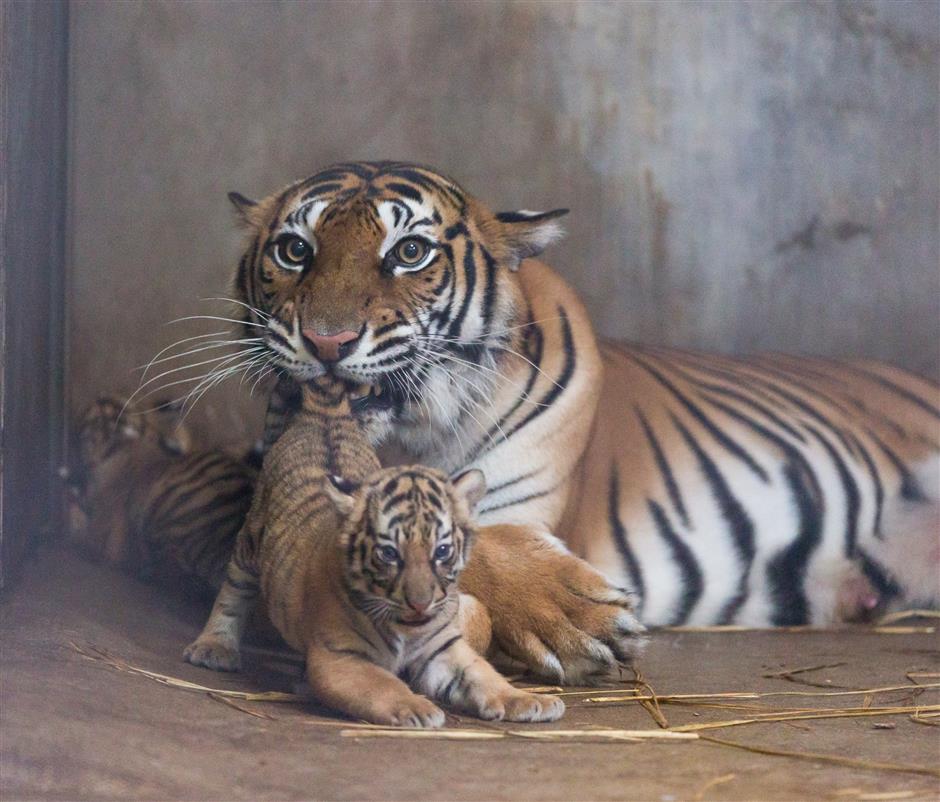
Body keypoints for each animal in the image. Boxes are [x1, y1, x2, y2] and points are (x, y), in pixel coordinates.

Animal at [224, 161, 936, 680]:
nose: (328, 341)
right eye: (295, 250)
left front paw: (577, 620)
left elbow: (471, 543)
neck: (405, 437)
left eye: (409, 252)